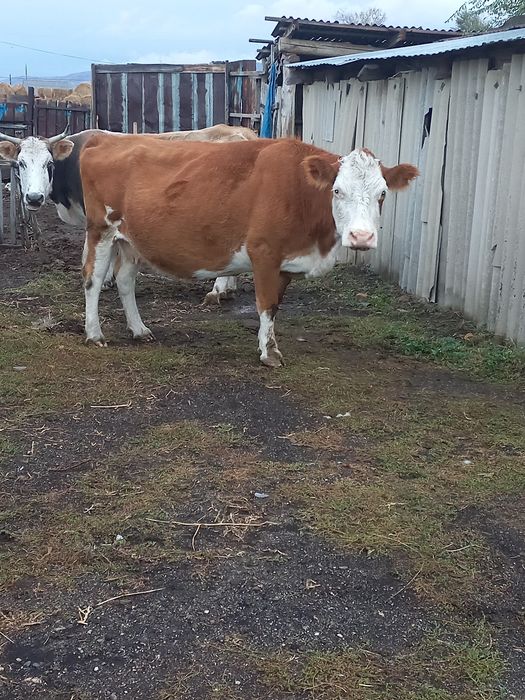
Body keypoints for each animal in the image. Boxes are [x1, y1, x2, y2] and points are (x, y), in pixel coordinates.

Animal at [78, 134, 418, 367]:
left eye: (382, 193)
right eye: (337, 190)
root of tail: (106, 137)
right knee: (92, 280)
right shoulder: (264, 252)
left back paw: (139, 329)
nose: (361, 237)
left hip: (130, 240)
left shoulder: (285, 261)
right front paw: (269, 353)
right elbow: (266, 304)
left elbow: (275, 306)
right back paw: (94, 334)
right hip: (102, 230)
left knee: (125, 281)